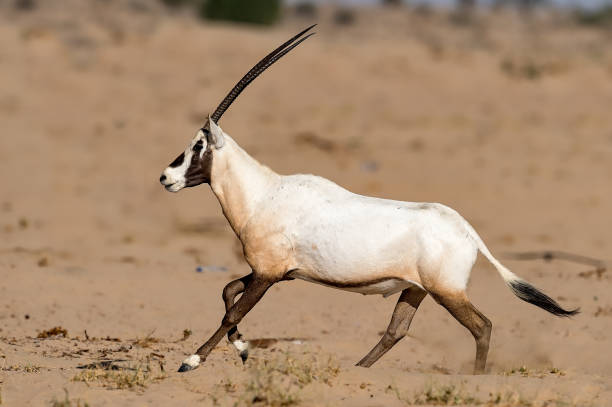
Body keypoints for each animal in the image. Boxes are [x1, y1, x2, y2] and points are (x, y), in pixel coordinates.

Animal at [159, 26, 580, 376]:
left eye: (198, 146)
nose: (166, 177)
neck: (264, 193)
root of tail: (468, 233)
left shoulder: (268, 273)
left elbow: (231, 312)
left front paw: (192, 360)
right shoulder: (278, 271)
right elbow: (228, 291)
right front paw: (243, 349)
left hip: (446, 292)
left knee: (482, 326)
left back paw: (474, 379)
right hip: (415, 290)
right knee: (397, 330)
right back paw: (359, 369)